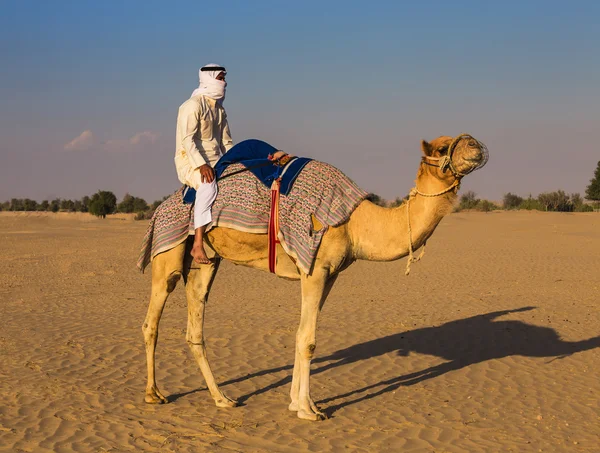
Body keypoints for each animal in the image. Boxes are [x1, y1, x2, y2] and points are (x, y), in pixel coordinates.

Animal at [142, 134, 488, 420]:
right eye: (443, 148)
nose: (476, 144)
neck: (355, 222)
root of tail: (160, 208)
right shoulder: (314, 268)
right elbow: (308, 340)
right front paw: (309, 411)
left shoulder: (329, 274)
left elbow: (299, 336)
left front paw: (299, 403)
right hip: (167, 255)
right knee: (152, 321)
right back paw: (154, 394)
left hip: (205, 262)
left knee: (195, 328)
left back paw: (222, 398)